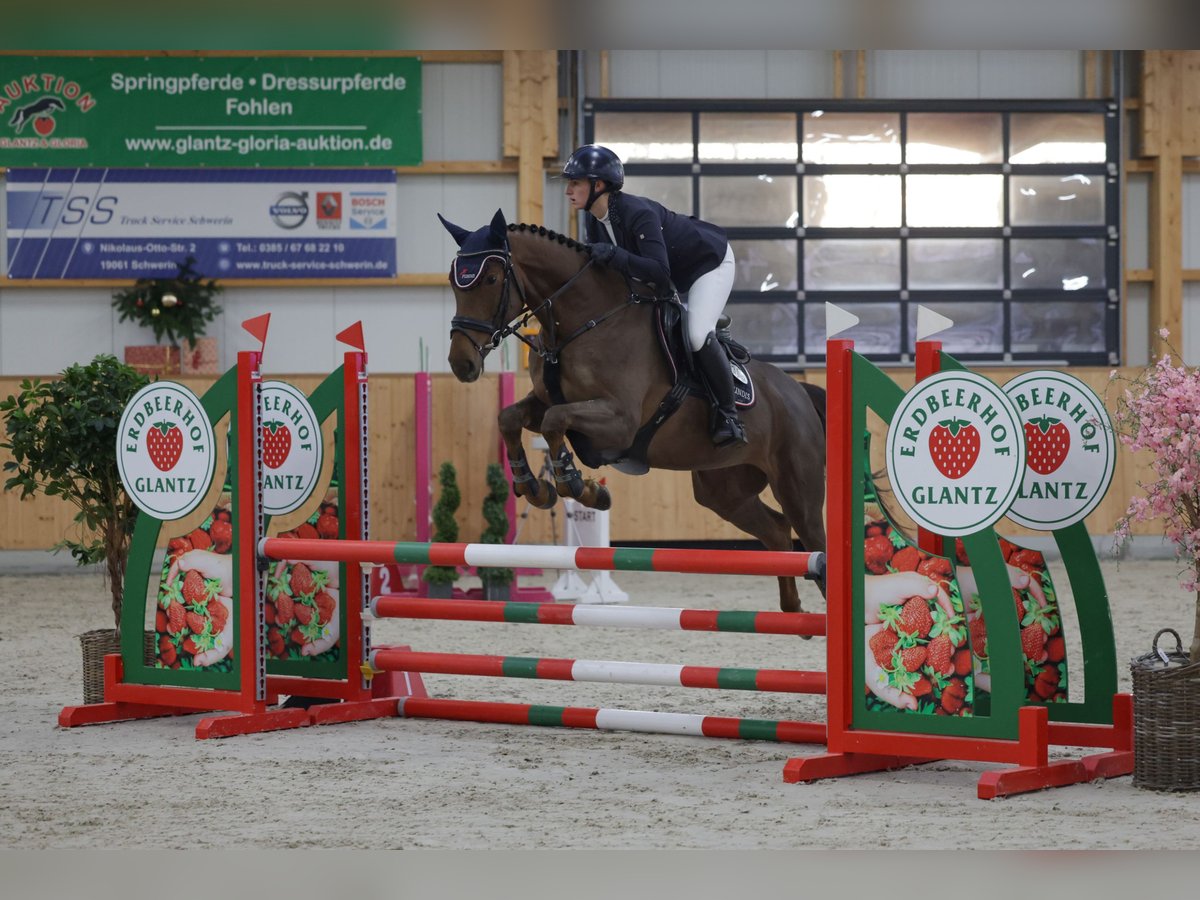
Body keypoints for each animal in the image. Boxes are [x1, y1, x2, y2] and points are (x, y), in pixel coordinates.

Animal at [439, 207, 825, 614]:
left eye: (491, 278)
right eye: (453, 281)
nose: (461, 363)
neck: (584, 319)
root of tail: (798, 390)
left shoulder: (620, 421)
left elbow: (554, 422)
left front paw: (578, 485)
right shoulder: (547, 400)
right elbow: (511, 417)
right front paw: (534, 486)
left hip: (796, 484)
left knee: (815, 540)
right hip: (724, 490)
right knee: (778, 532)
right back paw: (793, 610)